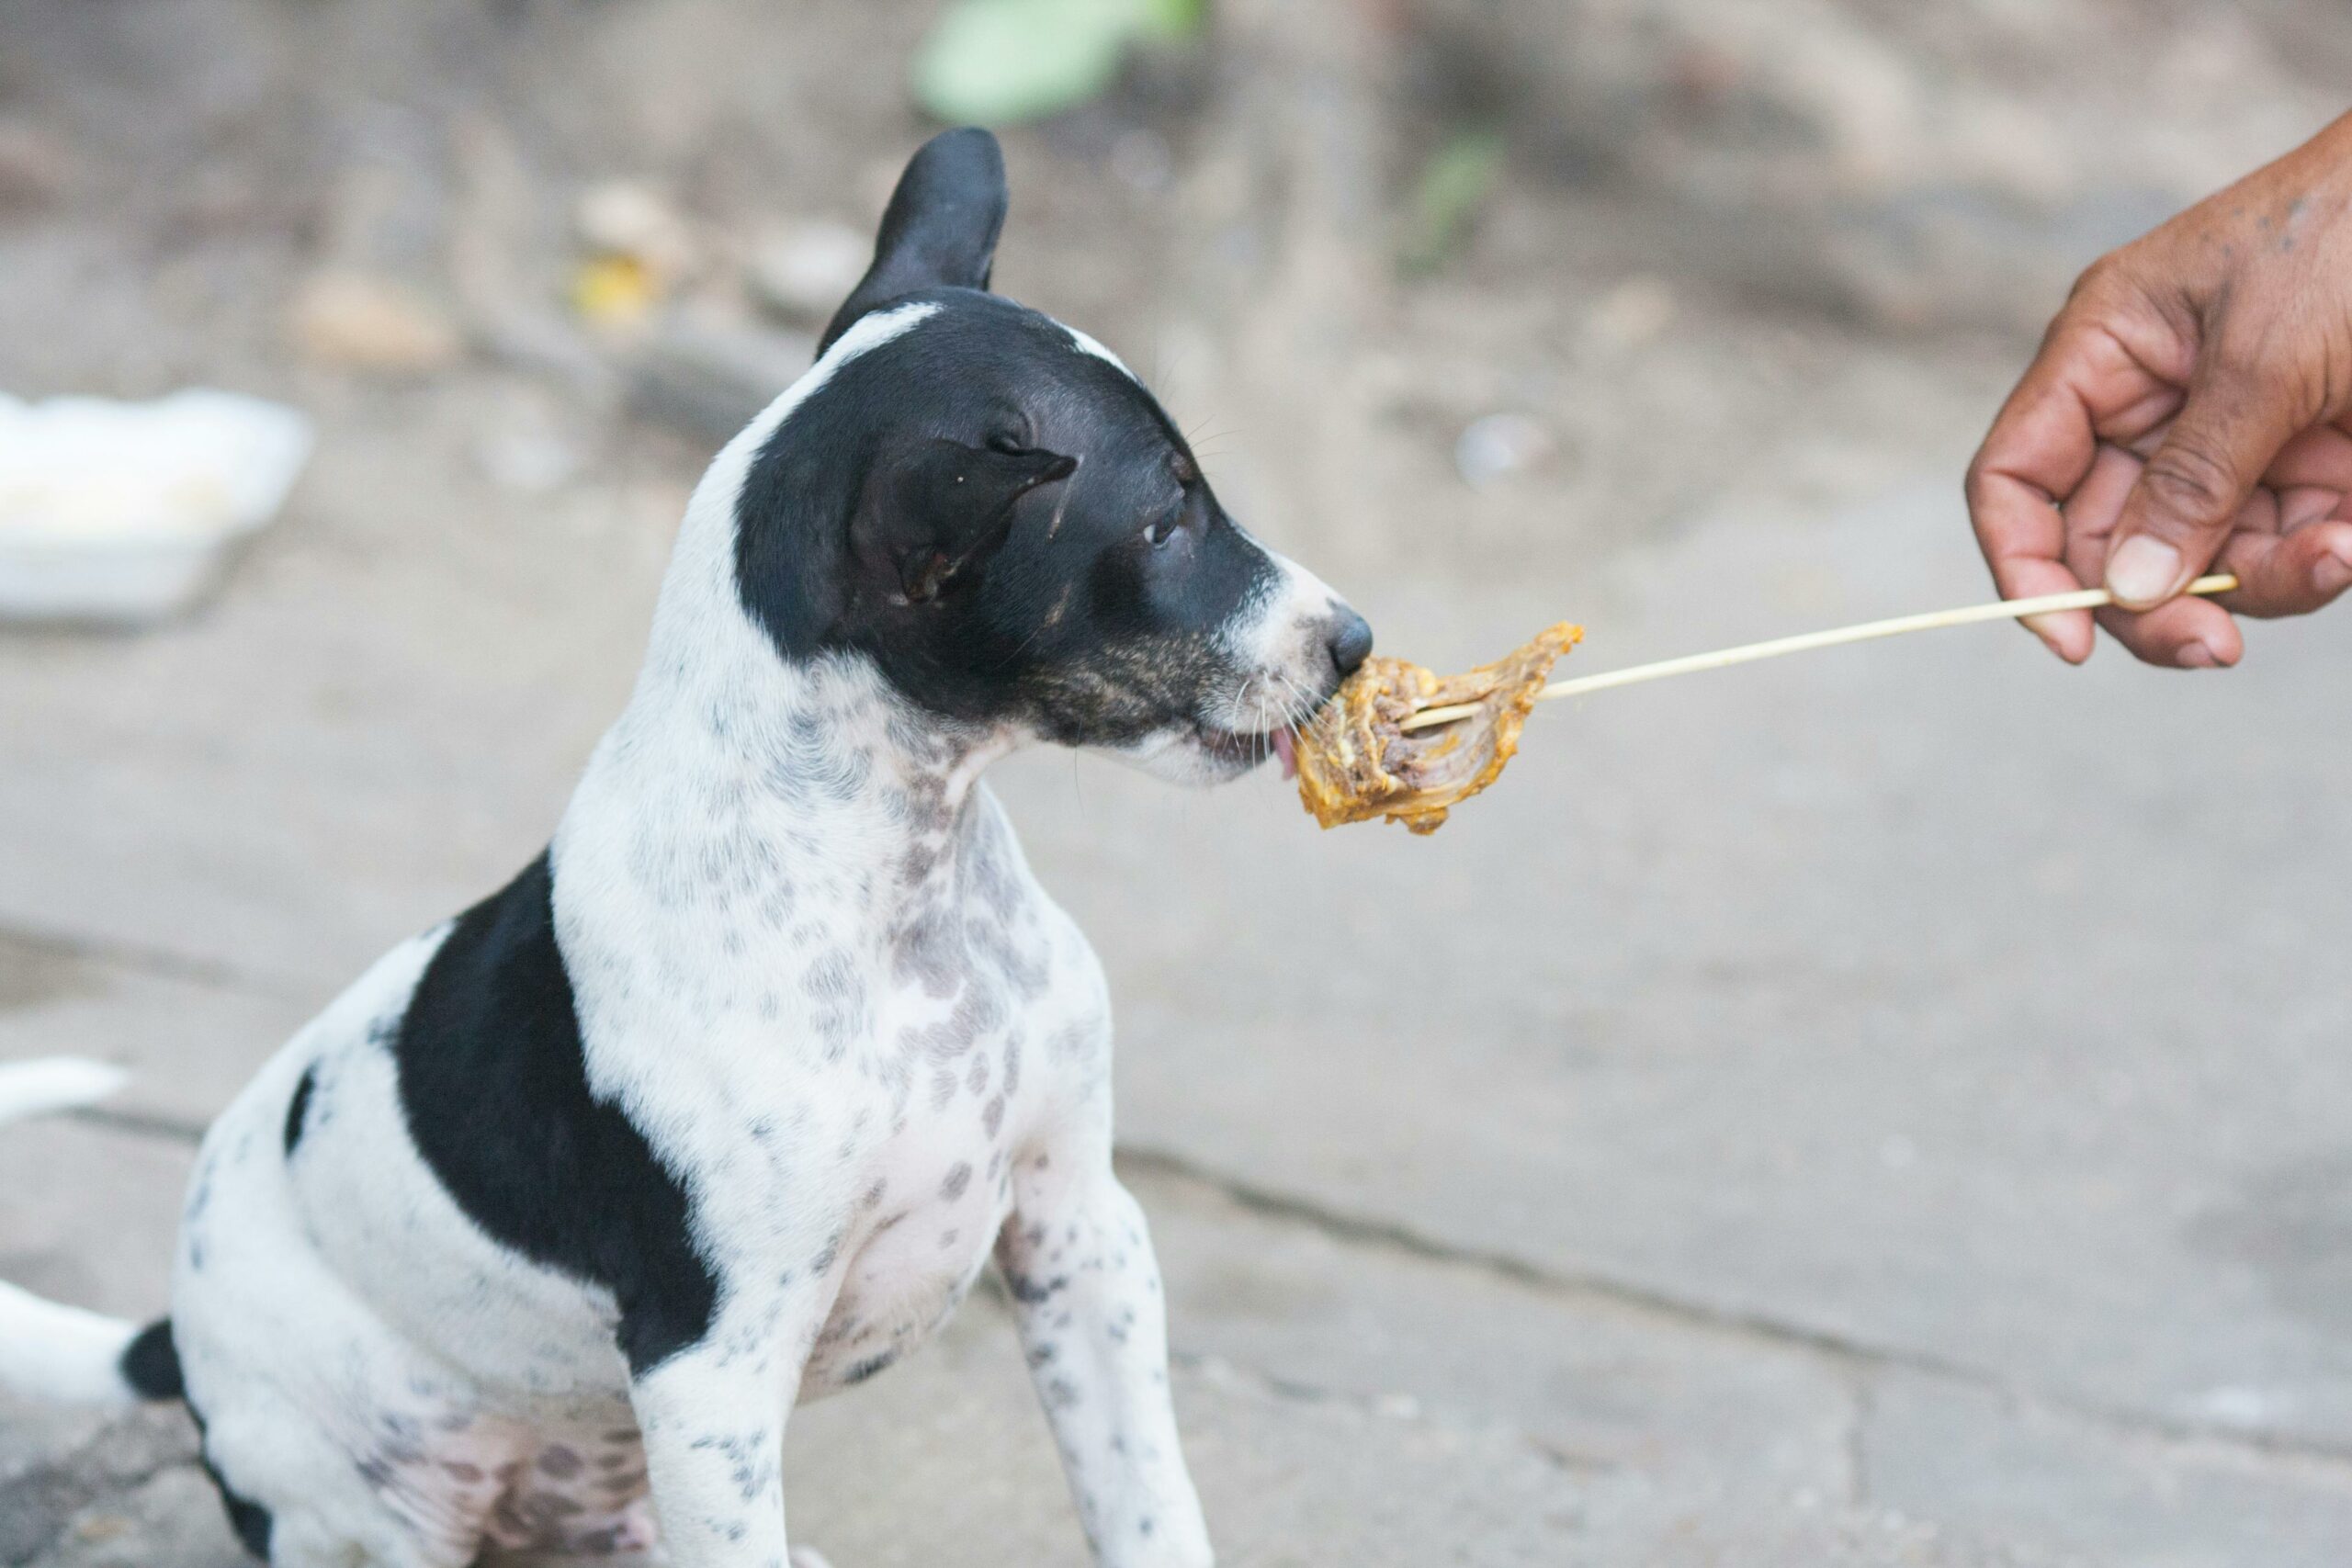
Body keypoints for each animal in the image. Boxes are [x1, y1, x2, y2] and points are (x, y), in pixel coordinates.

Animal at [0, 131, 1374, 1568]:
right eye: (1162, 523)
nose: (1355, 640)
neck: (903, 896)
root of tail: (174, 1341)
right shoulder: (713, 1370)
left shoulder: (1082, 1227)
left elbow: (1146, 1499)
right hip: (373, 1504)